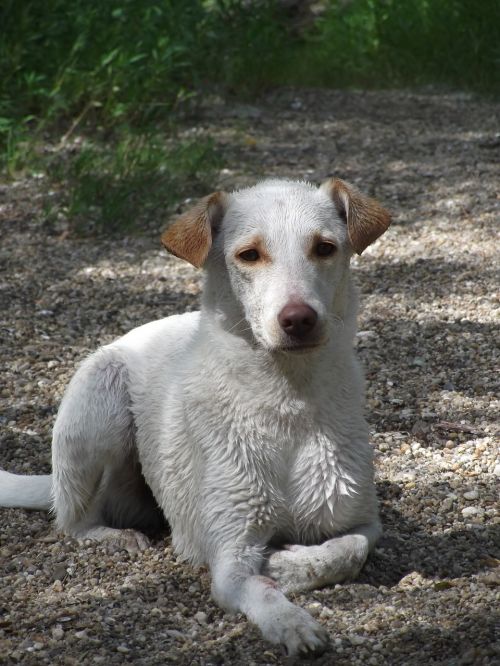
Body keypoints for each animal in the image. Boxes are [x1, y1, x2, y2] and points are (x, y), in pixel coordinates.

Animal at [0, 176, 390, 652]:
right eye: (249, 255)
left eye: (324, 247)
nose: (298, 319)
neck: (288, 401)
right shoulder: (230, 556)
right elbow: (261, 590)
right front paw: (290, 622)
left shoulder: (364, 519)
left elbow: (349, 549)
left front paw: (291, 564)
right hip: (99, 402)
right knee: (72, 521)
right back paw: (113, 537)